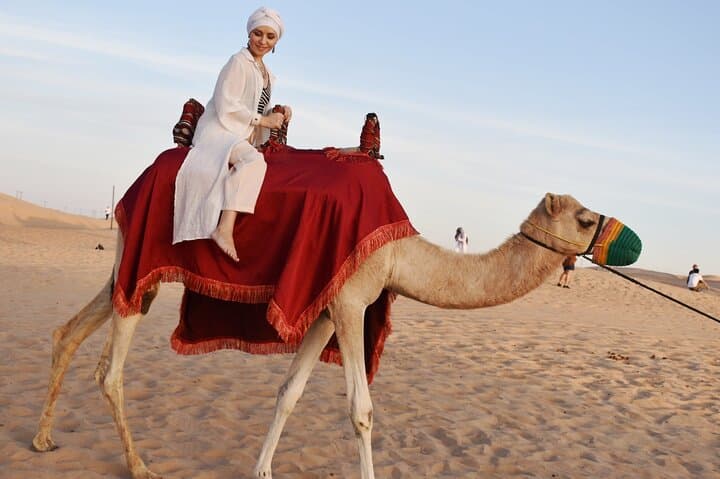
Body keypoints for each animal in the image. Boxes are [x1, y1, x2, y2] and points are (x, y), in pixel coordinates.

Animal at [31, 192, 640, 479]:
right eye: (586, 220)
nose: (632, 241)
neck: (399, 252)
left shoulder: (323, 309)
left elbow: (289, 391)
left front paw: (262, 468)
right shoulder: (350, 302)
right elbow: (361, 410)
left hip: (129, 267)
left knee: (68, 331)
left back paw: (42, 440)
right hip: (145, 260)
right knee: (109, 370)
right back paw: (139, 466)